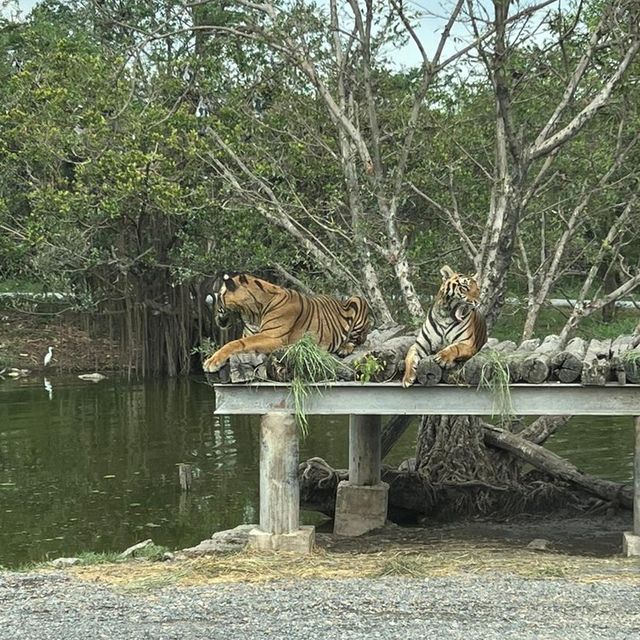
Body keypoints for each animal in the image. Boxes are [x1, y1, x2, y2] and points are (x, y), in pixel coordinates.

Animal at [200, 272, 370, 372]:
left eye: (219, 297)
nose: (215, 318)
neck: (252, 313)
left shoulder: (273, 337)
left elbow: (234, 344)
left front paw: (211, 362)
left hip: (358, 300)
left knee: (358, 340)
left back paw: (344, 348)